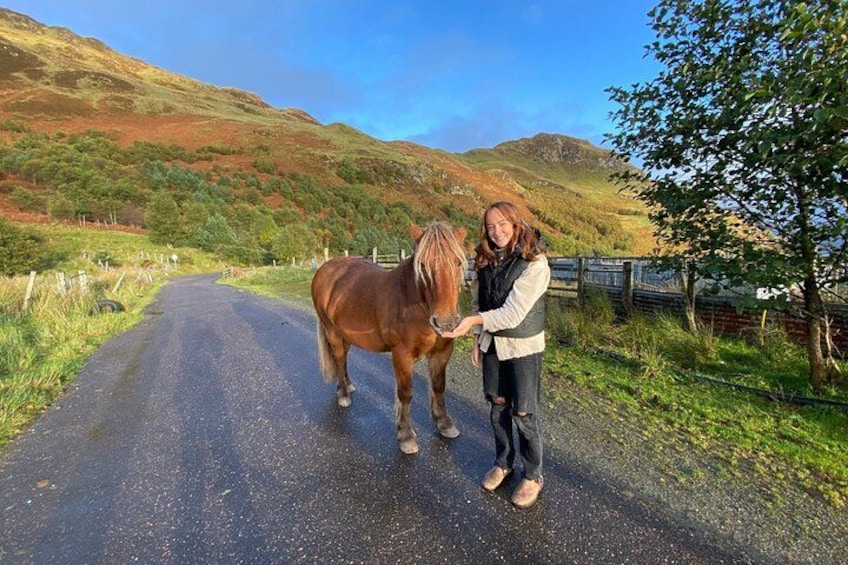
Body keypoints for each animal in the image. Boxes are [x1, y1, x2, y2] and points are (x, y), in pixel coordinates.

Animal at [311, 221, 468, 454]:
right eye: (423, 265)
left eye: (458, 262)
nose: (445, 322)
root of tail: (325, 269)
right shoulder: (402, 355)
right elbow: (406, 393)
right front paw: (406, 435)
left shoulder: (442, 352)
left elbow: (439, 386)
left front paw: (444, 423)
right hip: (332, 332)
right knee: (338, 358)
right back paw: (343, 394)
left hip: (345, 334)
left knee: (343, 359)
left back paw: (348, 385)